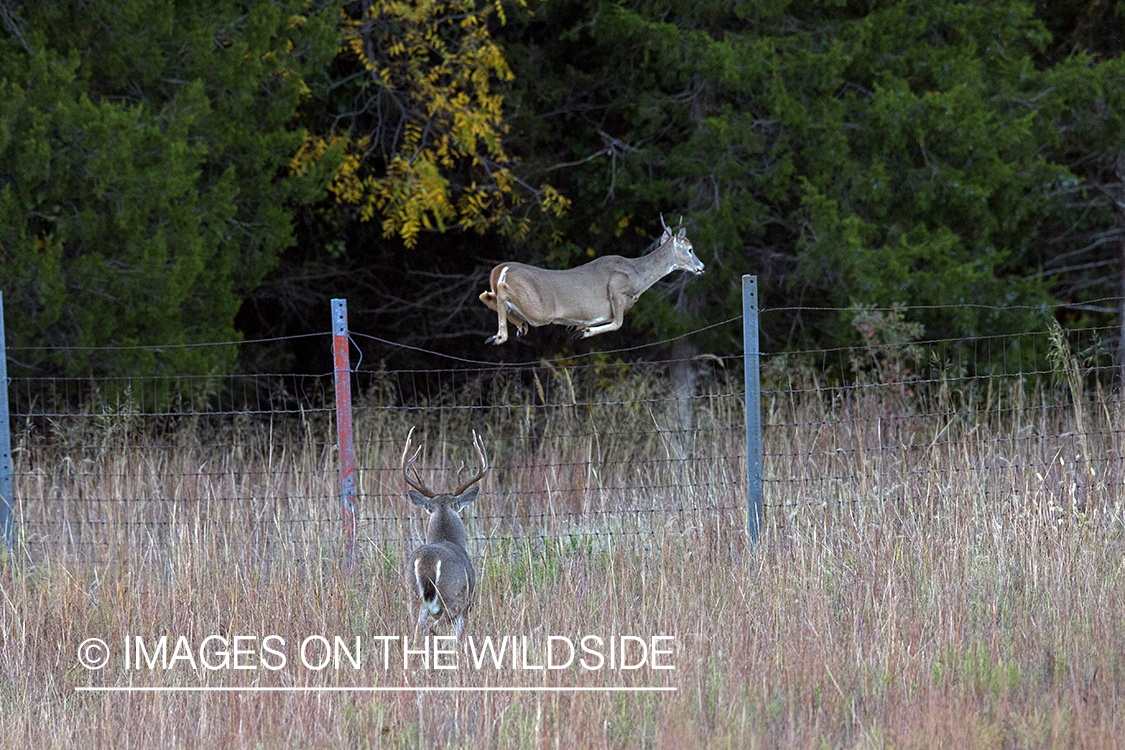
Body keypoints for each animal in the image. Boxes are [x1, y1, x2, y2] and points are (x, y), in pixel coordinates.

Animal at [400, 427, 488, 638]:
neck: (448, 539)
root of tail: (428, 560)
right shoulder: (467, 604)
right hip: (452, 595)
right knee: (435, 627)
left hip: (413, 596)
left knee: (418, 628)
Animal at [481, 217, 702, 346]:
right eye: (690, 249)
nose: (702, 266)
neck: (637, 276)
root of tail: (502, 269)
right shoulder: (616, 289)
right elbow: (618, 324)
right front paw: (584, 333)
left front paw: (577, 329)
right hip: (540, 310)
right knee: (500, 291)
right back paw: (499, 336)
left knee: (486, 295)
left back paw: (518, 327)